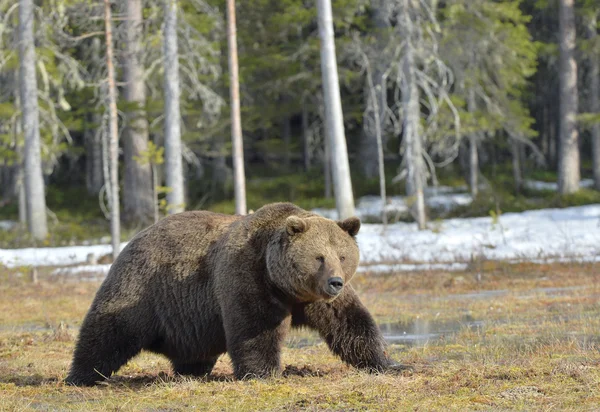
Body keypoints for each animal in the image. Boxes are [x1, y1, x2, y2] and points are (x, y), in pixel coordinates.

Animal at [65, 201, 404, 384]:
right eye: (319, 256)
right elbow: (255, 329)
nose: (335, 281)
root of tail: (134, 238)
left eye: (342, 256)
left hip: (191, 320)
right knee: (108, 332)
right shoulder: (248, 276)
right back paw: (81, 375)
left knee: (194, 351)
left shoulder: (316, 300)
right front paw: (264, 372)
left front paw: (390, 363)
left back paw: (191, 372)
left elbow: (352, 324)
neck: (284, 285)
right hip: (142, 287)